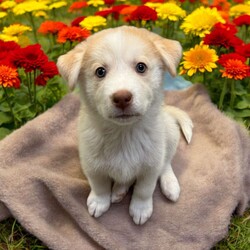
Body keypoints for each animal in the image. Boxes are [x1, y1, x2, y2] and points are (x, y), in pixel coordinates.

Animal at [57, 26, 193, 226]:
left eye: (141, 67)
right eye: (100, 71)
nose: (122, 97)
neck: (124, 133)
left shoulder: (151, 166)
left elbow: (144, 189)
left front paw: (140, 209)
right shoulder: (92, 164)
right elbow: (99, 185)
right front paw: (99, 202)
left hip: (169, 136)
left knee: (166, 163)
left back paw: (170, 185)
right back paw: (119, 191)